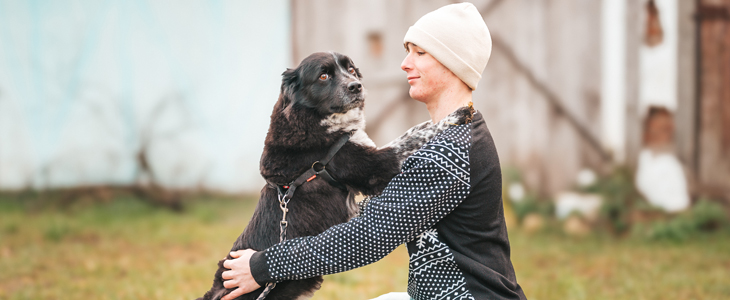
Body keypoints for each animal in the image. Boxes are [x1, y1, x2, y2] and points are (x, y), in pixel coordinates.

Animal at [199, 52, 470, 300]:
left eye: (350, 69)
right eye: (323, 76)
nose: (356, 86)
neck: (313, 118)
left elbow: (412, 131)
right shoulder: (376, 167)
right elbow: (413, 138)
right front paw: (455, 116)